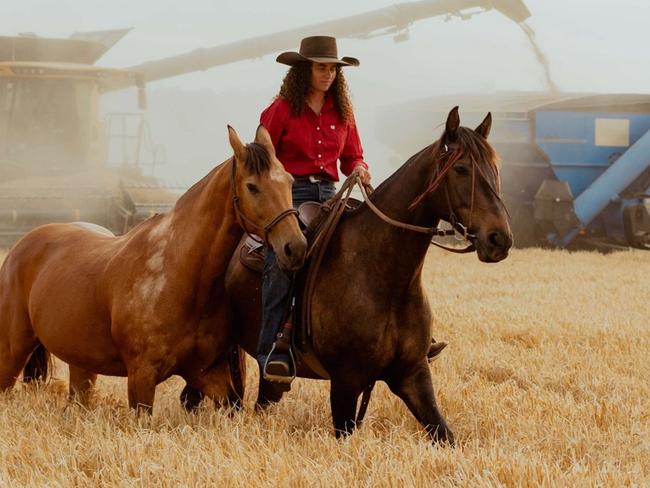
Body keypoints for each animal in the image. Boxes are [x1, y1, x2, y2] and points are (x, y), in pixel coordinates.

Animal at [0, 125, 306, 412]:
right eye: (252, 186)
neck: (179, 275)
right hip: (11, 355)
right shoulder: (142, 378)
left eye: (289, 181)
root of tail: (21, 245)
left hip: (82, 365)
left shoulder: (209, 374)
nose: (295, 247)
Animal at [223, 107, 512, 442]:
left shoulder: (413, 375)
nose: (500, 239)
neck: (386, 279)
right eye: (462, 169)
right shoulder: (346, 382)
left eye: (496, 166)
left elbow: (444, 434)